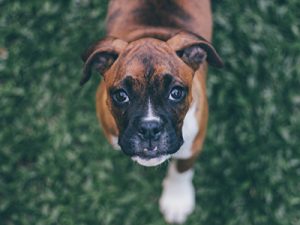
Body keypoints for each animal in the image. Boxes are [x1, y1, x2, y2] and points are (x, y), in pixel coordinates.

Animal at [79, 0, 223, 222]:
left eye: (176, 93)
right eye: (121, 95)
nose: (149, 129)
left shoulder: (193, 144)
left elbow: (181, 170)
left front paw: (177, 199)